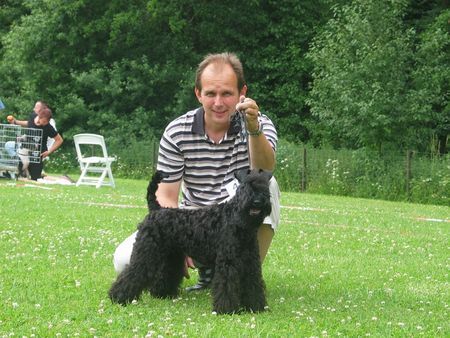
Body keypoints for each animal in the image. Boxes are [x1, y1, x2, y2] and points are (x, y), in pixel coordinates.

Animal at [110, 169, 270, 314]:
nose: (257, 201)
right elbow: (226, 285)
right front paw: (227, 309)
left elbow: (253, 283)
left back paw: (163, 293)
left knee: (165, 273)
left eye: (265, 187)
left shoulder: (250, 261)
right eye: (245, 186)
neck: (236, 218)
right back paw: (118, 297)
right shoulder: (228, 262)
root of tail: (156, 209)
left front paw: (255, 307)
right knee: (133, 272)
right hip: (146, 252)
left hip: (170, 256)